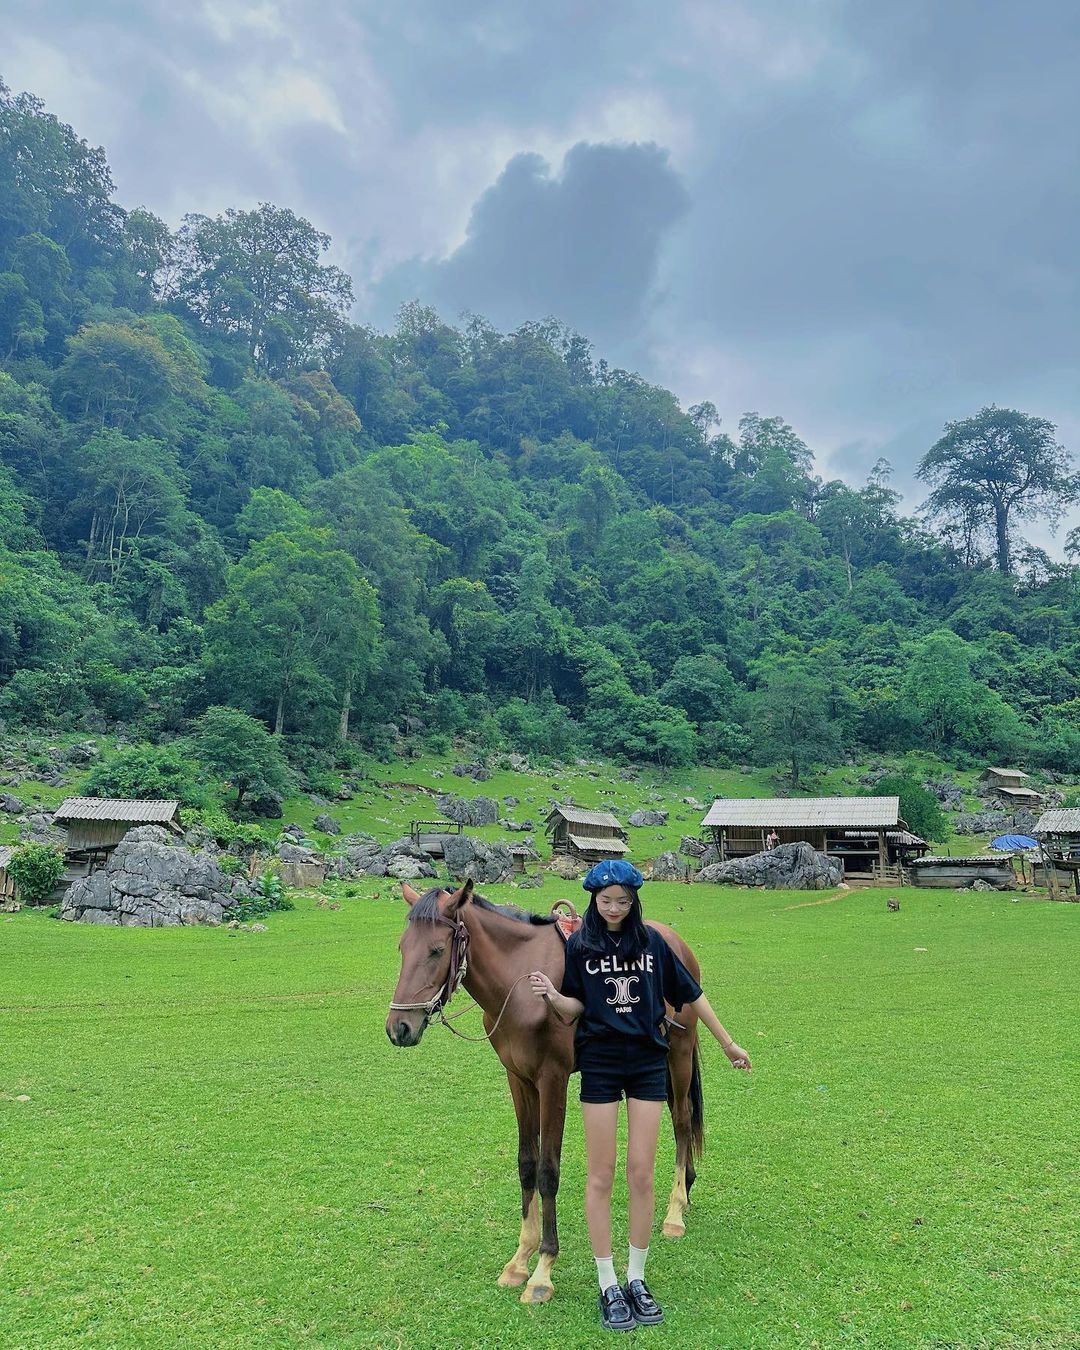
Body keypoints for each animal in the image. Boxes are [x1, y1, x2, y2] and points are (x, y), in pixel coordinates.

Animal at [383, 880, 702, 1301]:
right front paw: (520, 1259)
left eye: (436, 950)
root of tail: (677, 943)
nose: (398, 1028)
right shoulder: (518, 1080)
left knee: (682, 1121)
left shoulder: (553, 1080)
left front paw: (543, 1269)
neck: (519, 984)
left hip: (679, 1055)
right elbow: (527, 1164)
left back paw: (675, 1210)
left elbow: (549, 1170)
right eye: (403, 948)